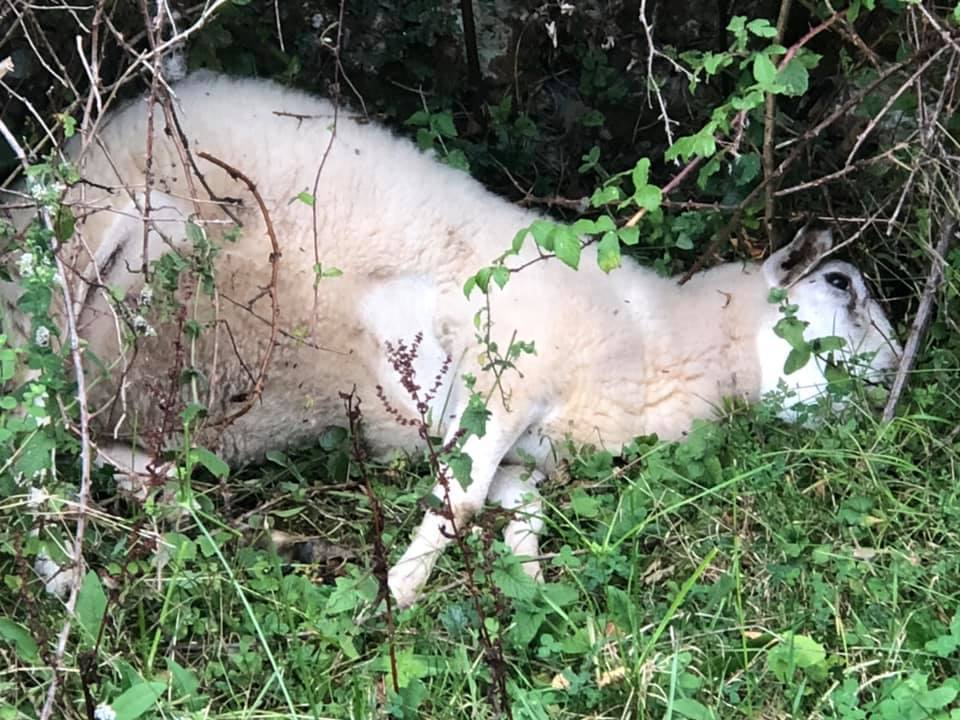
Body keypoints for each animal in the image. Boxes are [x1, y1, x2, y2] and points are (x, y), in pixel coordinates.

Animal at [0, 73, 900, 604]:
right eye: (842, 285)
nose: (894, 383)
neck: (659, 343)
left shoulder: (525, 451)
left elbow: (517, 512)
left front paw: (530, 587)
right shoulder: (505, 380)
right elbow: (457, 501)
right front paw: (395, 596)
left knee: (100, 451)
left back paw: (171, 519)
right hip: (78, 268)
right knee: (29, 448)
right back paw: (71, 576)